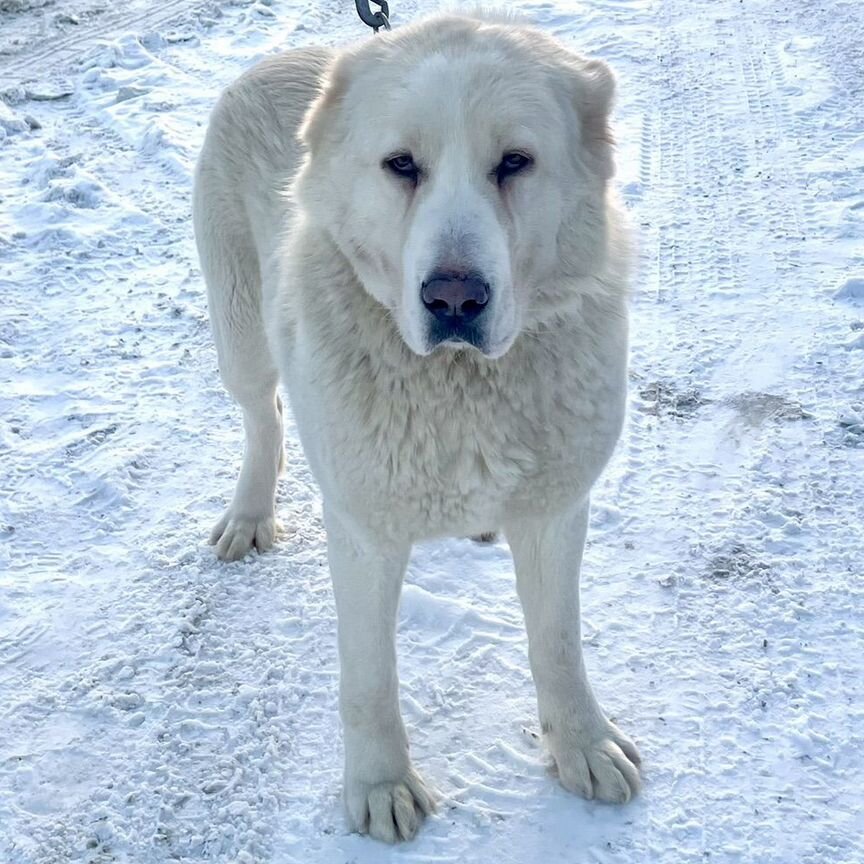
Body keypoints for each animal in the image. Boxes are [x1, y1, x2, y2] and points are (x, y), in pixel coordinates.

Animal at [196, 8, 640, 844]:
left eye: (515, 162)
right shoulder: (364, 537)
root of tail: (283, 56)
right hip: (240, 334)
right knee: (262, 414)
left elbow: (558, 645)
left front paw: (583, 743)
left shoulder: (556, 511)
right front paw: (380, 785)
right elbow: (370, 679)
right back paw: (249, 511)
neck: (460, 387)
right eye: (401, 165)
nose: (454, 298)